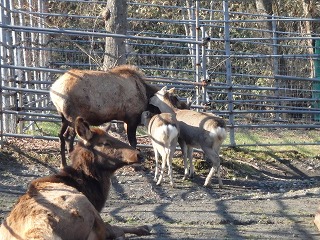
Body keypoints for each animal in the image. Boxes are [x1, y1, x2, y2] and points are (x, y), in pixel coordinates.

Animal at [0, 117, 152, 239]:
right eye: (106, 143)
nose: (139, 154)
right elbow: (113, 228)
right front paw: (143, 228)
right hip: (83, 204)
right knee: (108, 230)